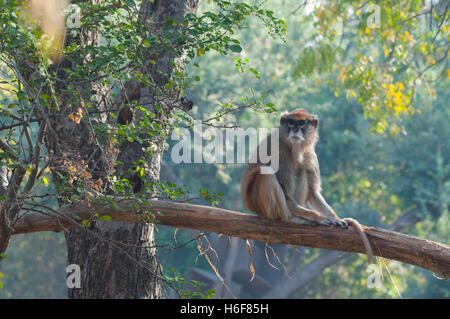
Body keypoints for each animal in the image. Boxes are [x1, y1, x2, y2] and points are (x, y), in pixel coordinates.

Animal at [241, 109, 374, 264]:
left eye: (301, 123)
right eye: (291, 122)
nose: (295, 130)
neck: (295, 148)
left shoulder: (310, 155)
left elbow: (313, 192)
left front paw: (335, 217)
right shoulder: (278, 153)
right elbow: (286, 193)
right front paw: (318, 217)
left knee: (302, 170)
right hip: (260, 204)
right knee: (266, 173)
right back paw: (289, 218)